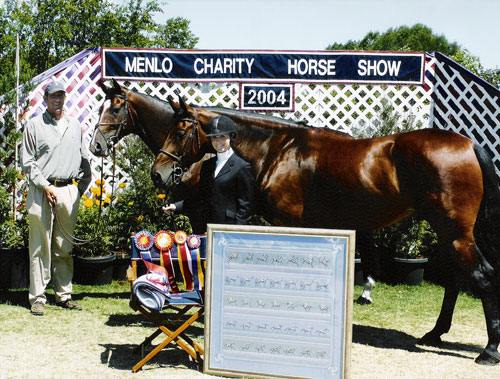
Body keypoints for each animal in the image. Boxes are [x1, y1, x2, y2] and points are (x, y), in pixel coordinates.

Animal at [150, 98, 500, 366]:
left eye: (180, 131)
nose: (158, 173)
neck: (278, 151)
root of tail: (469, 144)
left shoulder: (286, 225)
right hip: (451, 233)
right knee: (456, 279)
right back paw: (436, 332)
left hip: (454, 232)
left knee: (482, 277)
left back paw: (489, 351)